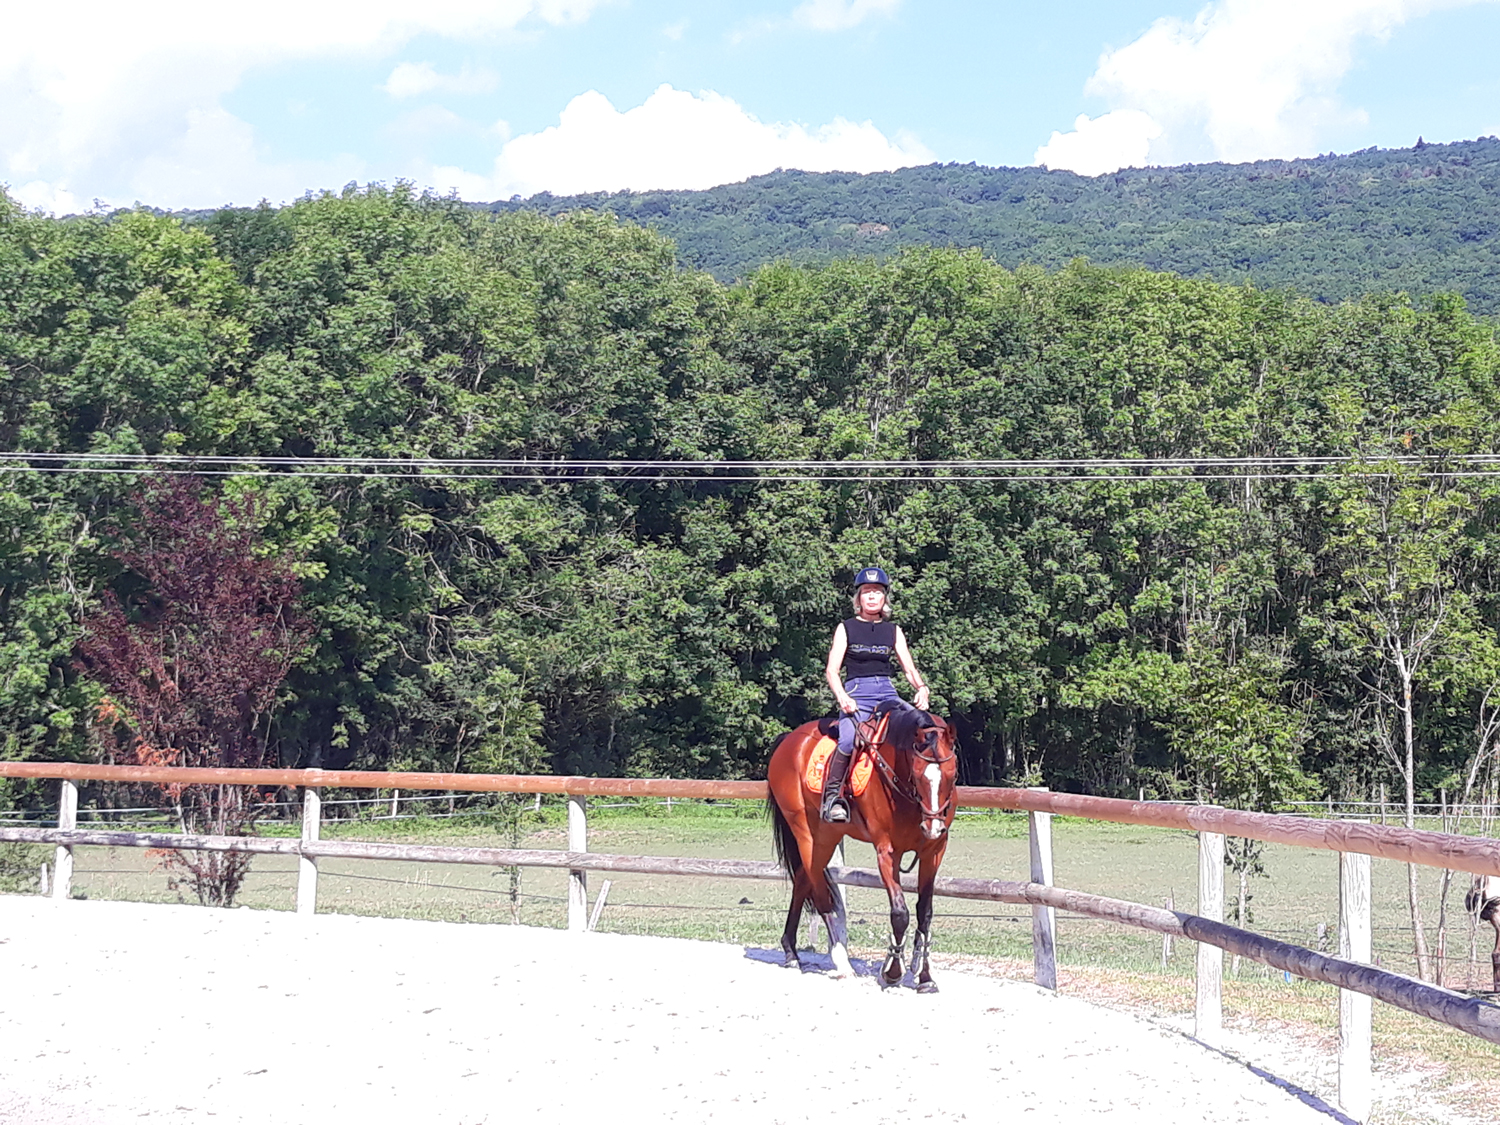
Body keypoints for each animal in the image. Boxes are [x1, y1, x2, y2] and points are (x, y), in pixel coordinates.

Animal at [768, 708, 954, 990]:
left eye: (952, 774)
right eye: (918, 773)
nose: (932, 826)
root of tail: (789, 739)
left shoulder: (934, 851)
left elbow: (925, 913)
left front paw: (925, 976)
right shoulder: (887, 852)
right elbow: (900, 913)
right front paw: (892, 972)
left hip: (826, 836)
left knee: (802, 879)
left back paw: (791, 952)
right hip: (806, 834)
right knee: (819, 894)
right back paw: (841, 961)